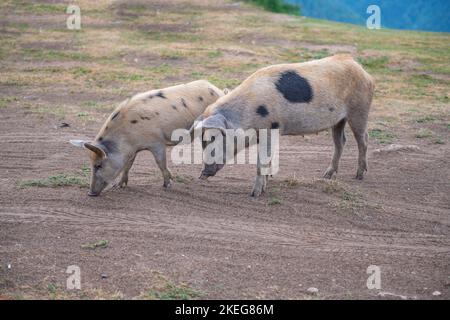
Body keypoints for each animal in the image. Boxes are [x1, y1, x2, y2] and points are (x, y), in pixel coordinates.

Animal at [70, 79, 225, 195]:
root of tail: (219, 90)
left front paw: (167, 185)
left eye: (98, 165)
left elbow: (160, 162)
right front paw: (119, 186)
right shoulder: (132, 150)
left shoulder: (157, 142)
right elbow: (128, 165)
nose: (90, 193)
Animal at [195, 54, 374, 196]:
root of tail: (361, 69)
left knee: (363, 139)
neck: (245, 114)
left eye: (213, 138)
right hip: (338, 120)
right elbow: (268, 159)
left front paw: (254, 194)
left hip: (360, 110)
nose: (202, 174)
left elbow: (262, 162)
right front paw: (265, 185)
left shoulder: (269, 128)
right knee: (340, 142)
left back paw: (359, 176)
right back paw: (326, 176)